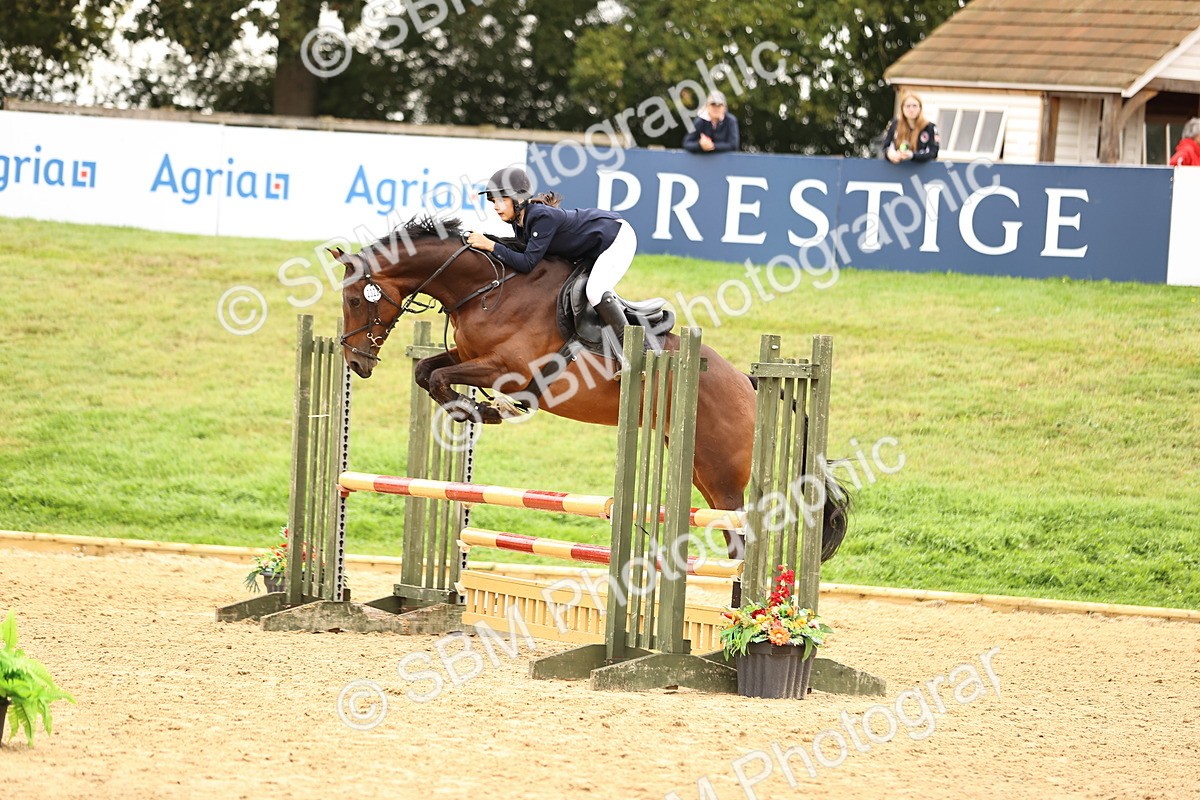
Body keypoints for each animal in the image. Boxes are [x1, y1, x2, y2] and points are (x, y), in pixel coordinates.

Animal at [333, 216, 848, 564]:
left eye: (356, 298)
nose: (355, 362)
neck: (489, 288)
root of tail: (749, 381)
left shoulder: (510, 368)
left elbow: (442, 379)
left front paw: (485, 411)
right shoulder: (467, 355)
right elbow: (428, 372)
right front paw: (474, 409)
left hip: (722, 475)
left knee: (741, 540)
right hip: (698, 466)